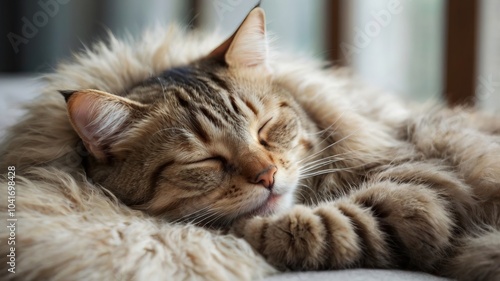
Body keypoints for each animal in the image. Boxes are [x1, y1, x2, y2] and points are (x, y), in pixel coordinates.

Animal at [3, 6, 500, 280]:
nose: (268, 175)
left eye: (266, 128)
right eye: (204, 160)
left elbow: (327, 225)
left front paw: (248, 229)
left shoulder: (424, 185)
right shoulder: (425, 188)